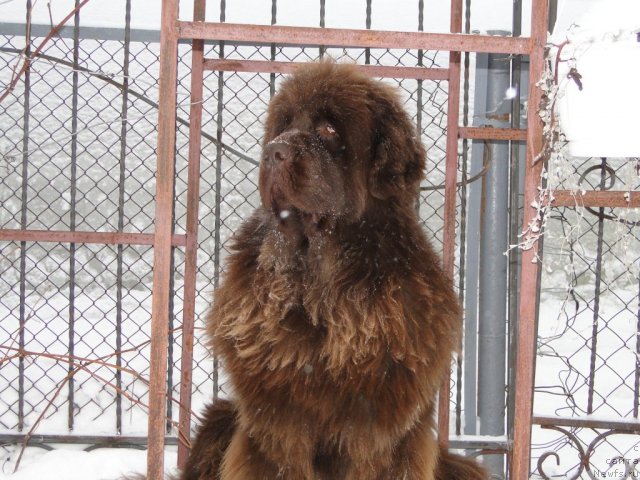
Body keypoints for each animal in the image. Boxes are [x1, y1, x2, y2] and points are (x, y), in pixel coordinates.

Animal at [180, 62, 484, 478]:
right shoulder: (274, 430)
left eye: (328, 129)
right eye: (283, 124)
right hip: (220, 417)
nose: (274, 152)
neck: (319, 293)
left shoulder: (380, 436)